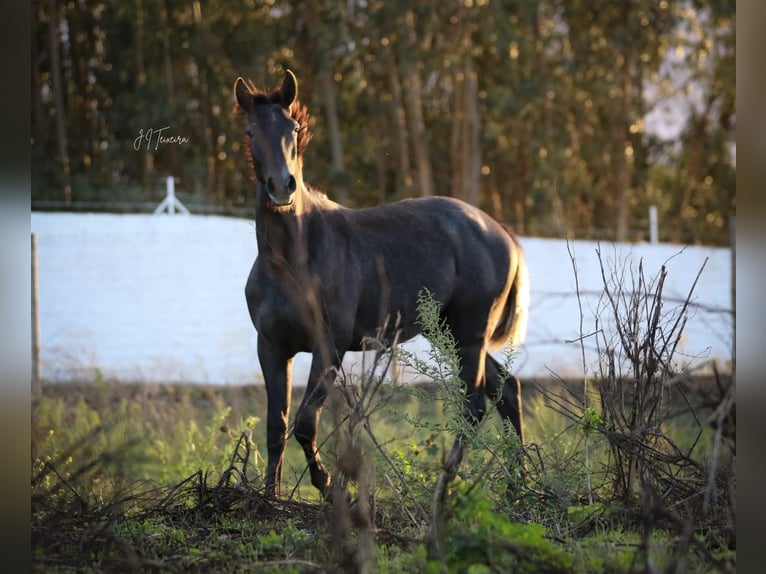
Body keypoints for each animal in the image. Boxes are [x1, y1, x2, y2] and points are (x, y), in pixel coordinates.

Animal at [237, 68, 532, 500]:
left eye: (293, 128)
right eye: (251, 131)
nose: (282, 186)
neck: (292, 262)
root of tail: (502, 233)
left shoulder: (329, 346)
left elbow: (306, 422)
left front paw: (330, 488)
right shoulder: (272, 347)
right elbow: (277, 425)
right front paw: (270, 497)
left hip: (469, 335)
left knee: (475, 403)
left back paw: (444, 486)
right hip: (447, 332)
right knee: (506, 390)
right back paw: (518, 487)